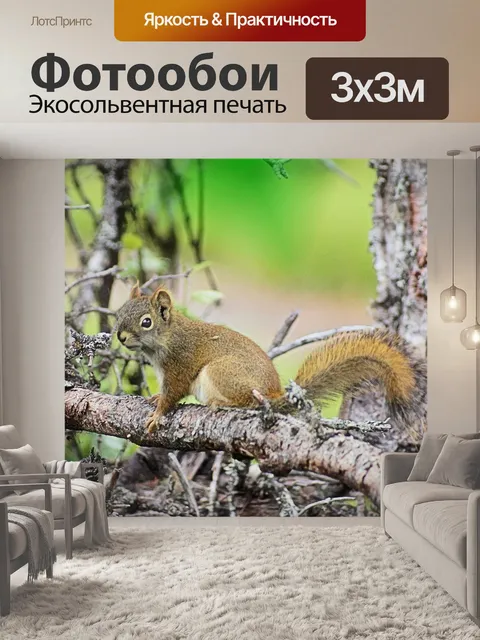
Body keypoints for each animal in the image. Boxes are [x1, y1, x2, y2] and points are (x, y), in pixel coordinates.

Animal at [115, 283, 426, 434]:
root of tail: (274, 396)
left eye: (146, 322)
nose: (120, 336)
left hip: (221, 372)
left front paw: (157, 415)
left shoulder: (179, 364)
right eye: (119, 312)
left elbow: (173, 393)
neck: (166, 339)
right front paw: (155, 399)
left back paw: (221, 404)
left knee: (249, 402)